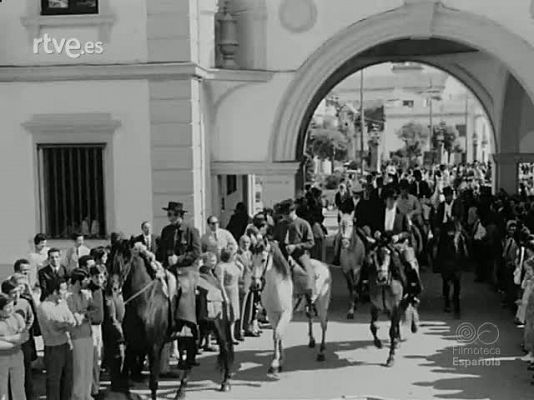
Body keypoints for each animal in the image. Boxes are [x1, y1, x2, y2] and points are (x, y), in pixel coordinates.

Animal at [109, 236, 234, 398]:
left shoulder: (154, 346)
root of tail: (213, 278)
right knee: (191, 358)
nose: (111, 287)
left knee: (225, 347)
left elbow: (153, 383)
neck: (146, 299)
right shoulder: (132, 344)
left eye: (126, 258)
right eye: (110, 258)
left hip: (219, 325)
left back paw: (225, 382)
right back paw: (181, 390)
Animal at [251, 238, 330, 376]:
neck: (276, 285)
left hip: (322, 303)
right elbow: (277, 335)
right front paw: (280, 360)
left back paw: (321, 353)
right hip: (310, 304)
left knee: (323, 325)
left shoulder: (286, 313)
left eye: (263, 259)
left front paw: (274, 364)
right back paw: (311, 341)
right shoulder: (272, 314)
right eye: (252, 259)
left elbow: (277, 334)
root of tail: (324, 265)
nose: (255, 284)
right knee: (310, 318)